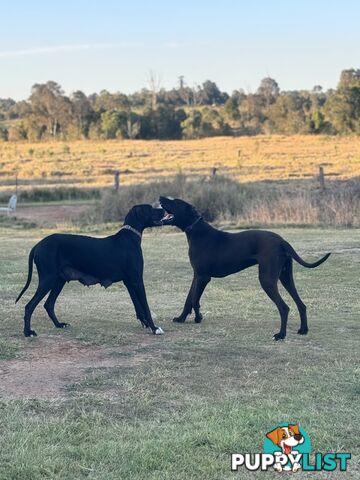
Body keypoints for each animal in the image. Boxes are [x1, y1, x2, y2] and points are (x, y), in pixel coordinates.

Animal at [16, 203, 173, 338]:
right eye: (150, 208)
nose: (164, 209)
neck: (129, 237)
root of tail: (37, 245)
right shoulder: (137, 281)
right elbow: (146, 307)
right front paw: (154, 328)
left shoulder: (129, 282)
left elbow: (138, 307)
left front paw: (146, 324)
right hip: (48, 279)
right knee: (29, 306)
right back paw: (27, 332)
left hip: (59, 281)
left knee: (48, 305)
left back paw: (59, 324)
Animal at [159, 197, 330, 340]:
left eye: (175, 201)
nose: (160, 197)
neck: (197, 231)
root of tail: (282, 241)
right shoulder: (197, 275)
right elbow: (189, 299)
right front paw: (181, 318)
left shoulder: (203, 277)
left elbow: (195, 299)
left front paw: (198, 317)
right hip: (285, 277)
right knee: (301, 304)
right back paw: (303, 330)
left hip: (267, 280)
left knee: (284, 307)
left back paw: (281, 335)